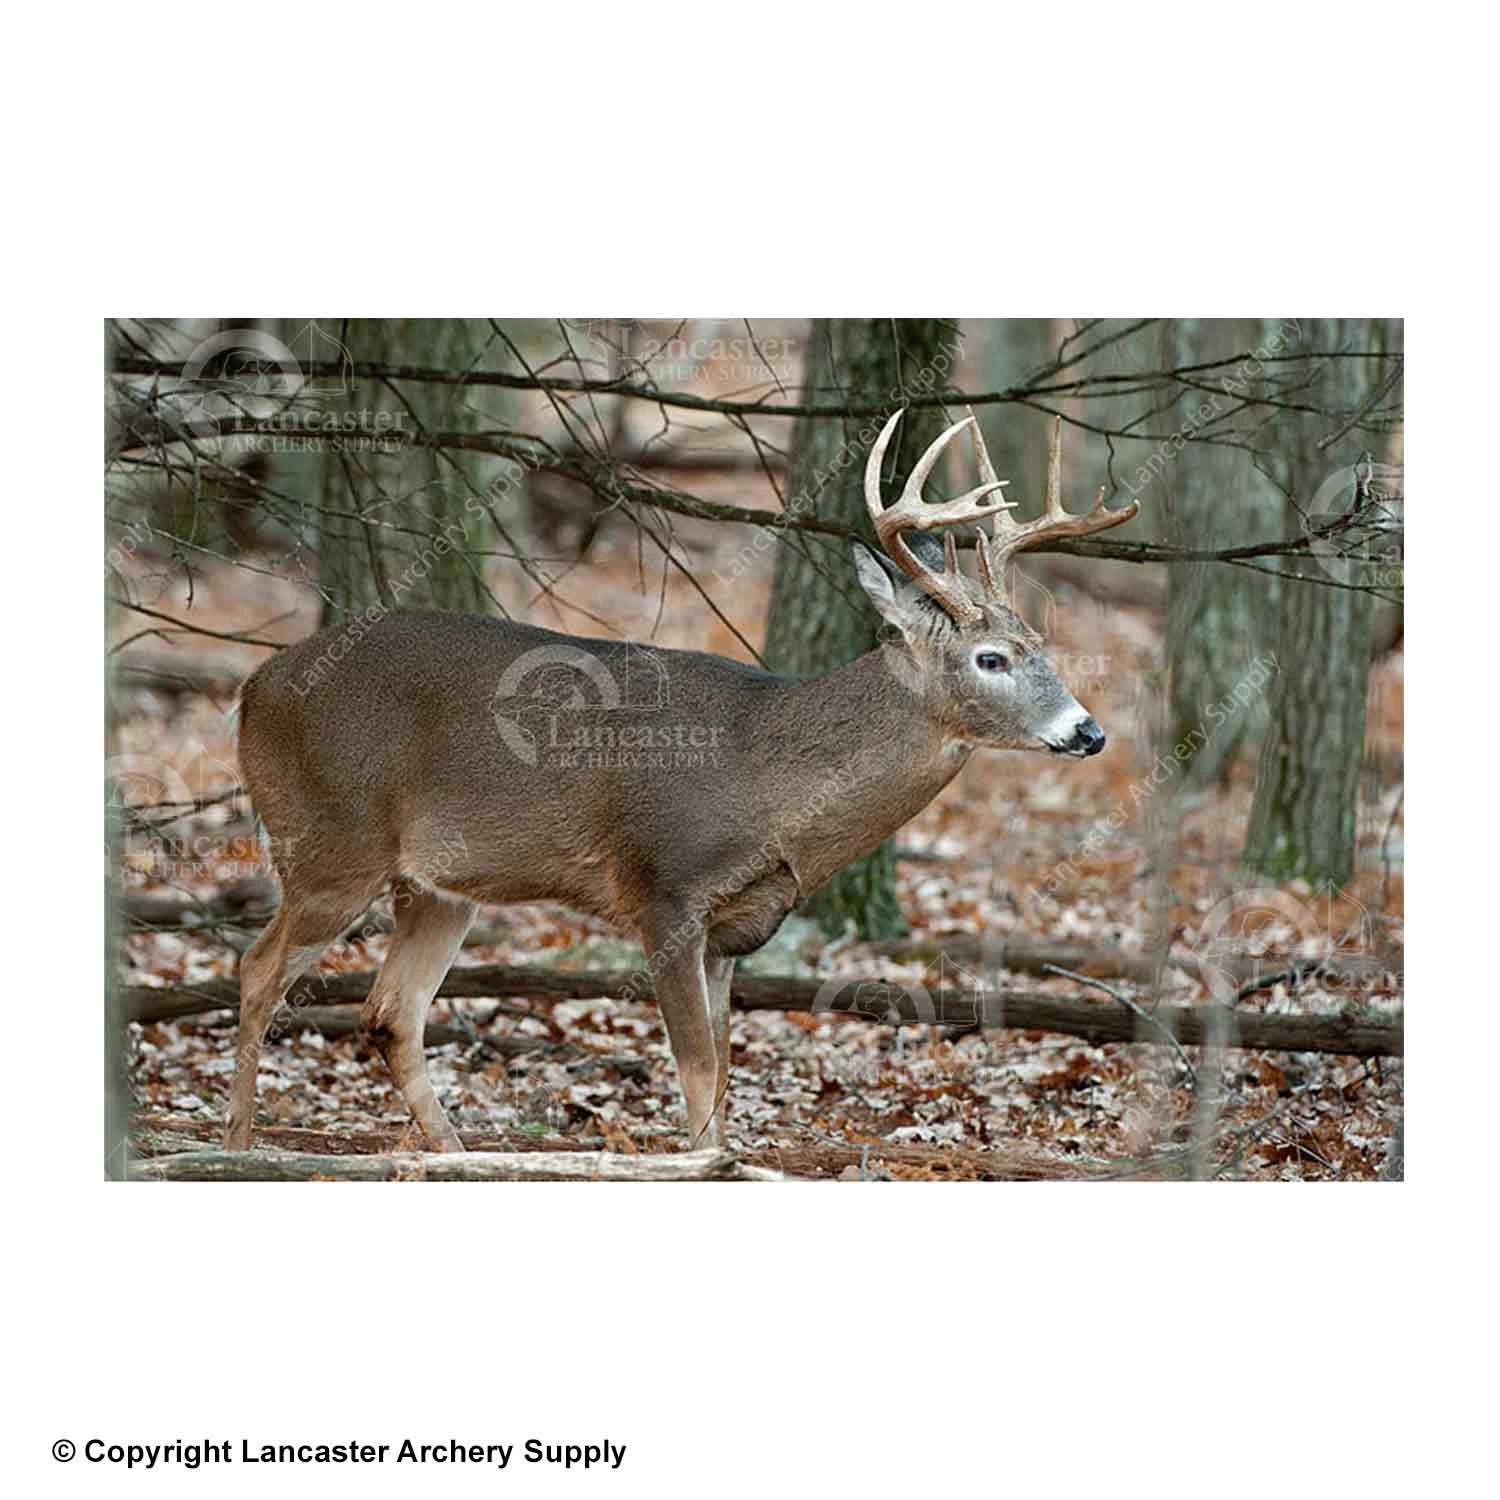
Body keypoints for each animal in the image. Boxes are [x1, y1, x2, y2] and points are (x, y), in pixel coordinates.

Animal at [223, 409, 1138, 1154]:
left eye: (1042, 646)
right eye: (992, 658)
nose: (1088, 732)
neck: (771, 785)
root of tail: (252, 688)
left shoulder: (735, 929)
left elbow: (726, 1073)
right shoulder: (663, 888)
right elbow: (697, 1072)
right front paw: (702, 1164)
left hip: (439, 885)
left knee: (390, 1012)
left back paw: (454, 1154)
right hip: (331, 843)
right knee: (260, 969)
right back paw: (240, 1141)